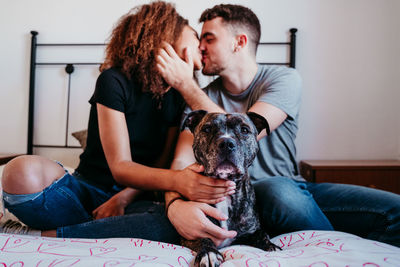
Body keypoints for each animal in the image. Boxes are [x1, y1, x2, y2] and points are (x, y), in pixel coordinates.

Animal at [181, 110, 282, 266]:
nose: (227, 143)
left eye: (244, 130)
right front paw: (209, 252)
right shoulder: (190, 232)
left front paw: (271, 246)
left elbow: (262, 234)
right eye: (207, 129)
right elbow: (203, 239)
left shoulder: (251, 232)